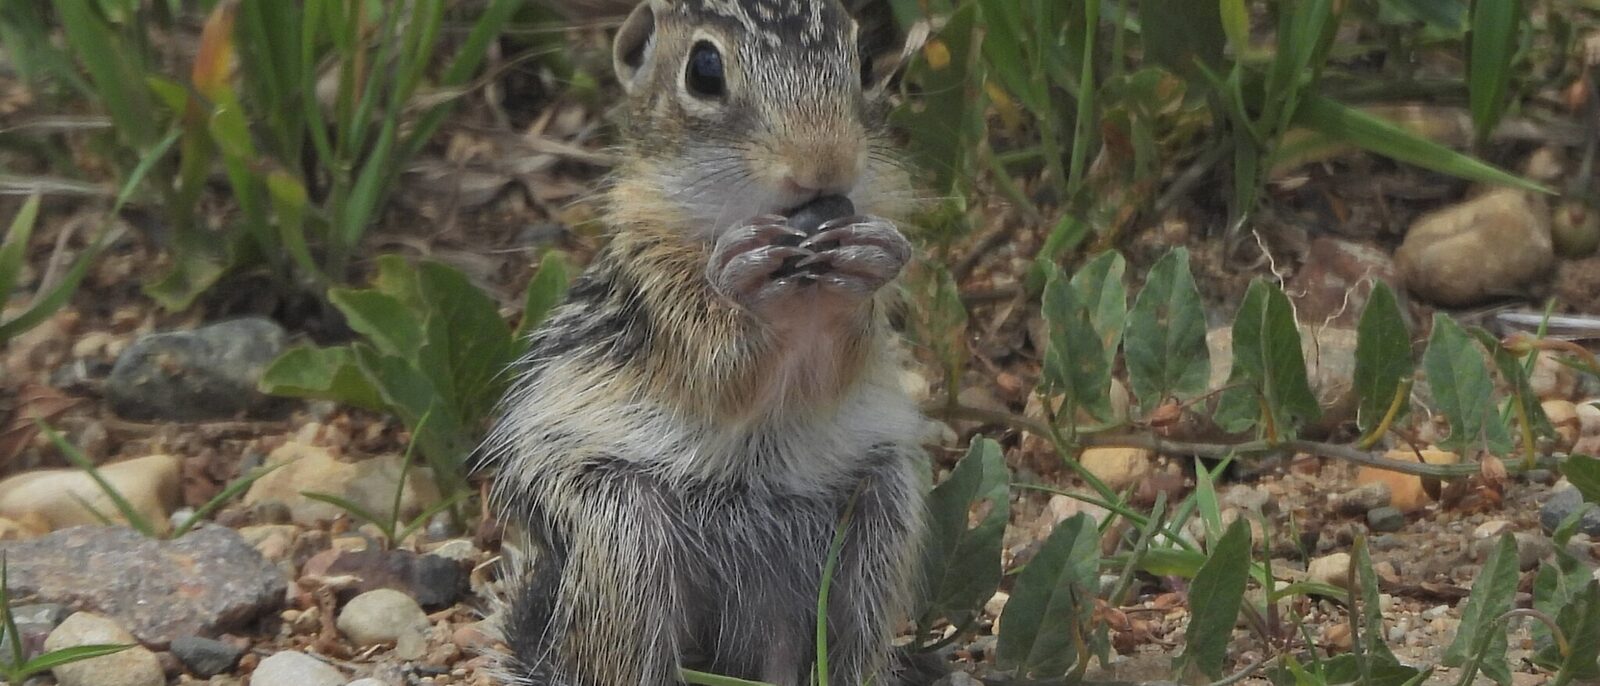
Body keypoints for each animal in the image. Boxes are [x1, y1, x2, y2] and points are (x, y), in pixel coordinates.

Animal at [475, 0, 927, 684]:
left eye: (865, 60)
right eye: (705, 70)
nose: (825, 164)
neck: (801, 288)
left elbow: (836, 364)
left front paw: (865, 261)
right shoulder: (657, 289)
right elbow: (721, 369)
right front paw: (744, 278)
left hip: (881, 519)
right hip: (622, 534)